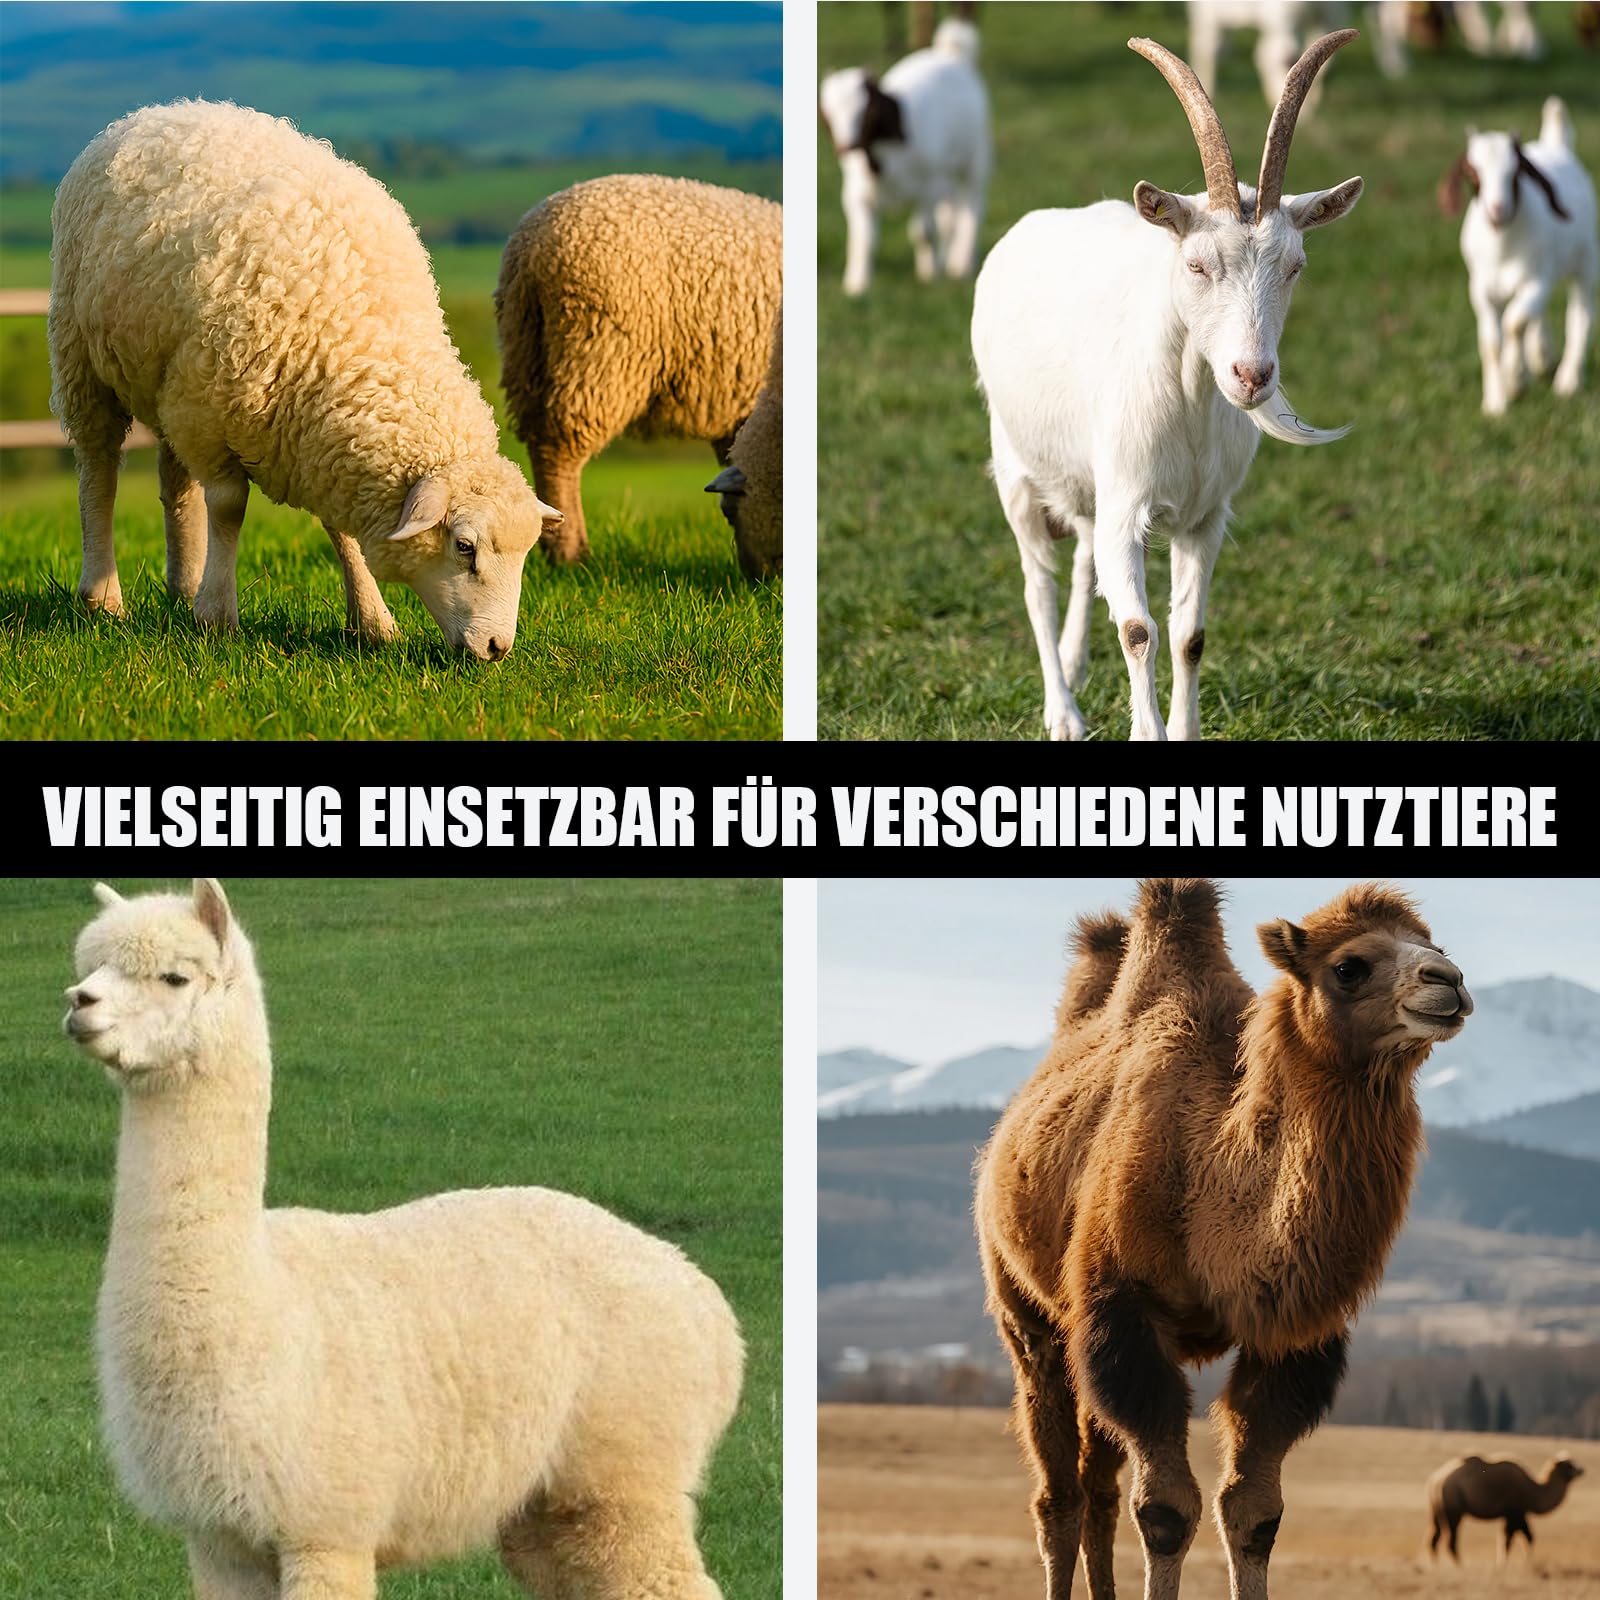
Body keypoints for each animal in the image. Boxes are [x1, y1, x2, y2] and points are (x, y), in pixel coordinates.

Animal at [49, 100, 559, 660]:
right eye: (464, 546)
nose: (496, 647)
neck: (364, 335)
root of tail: (161, 112)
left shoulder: (320, 436)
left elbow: (343, 532)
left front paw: (372, 619)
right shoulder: (209, 415)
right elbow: (228, 508)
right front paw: (217, 617)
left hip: (167, 383)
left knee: (174, 483)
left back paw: (182, 586)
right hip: (83, 357)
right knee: (98, 470)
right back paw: (103, 596)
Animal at [62, 879, 743, 1600]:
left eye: (174, 976)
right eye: (89, 967)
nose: (79, 1003)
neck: (263, 1305)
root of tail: (705, 1300)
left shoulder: (327, 1525)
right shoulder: (221, 1540)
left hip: (630, 1468)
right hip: (546, 1503)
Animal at [819, 17, 992, 296]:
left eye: (867, 111)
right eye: (828, 112)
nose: (847, 146)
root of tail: (949, 55)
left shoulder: (928, 188)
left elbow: (923, 232)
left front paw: (928, 275)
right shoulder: (856, 194)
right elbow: (863, 239)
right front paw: (857, 284)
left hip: (973, 160)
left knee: (972, 208)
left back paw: (961, 263)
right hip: (947, 177)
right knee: (950, 217)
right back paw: (952, 260)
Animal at [970, 31, 1363, 742]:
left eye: (1295, 266)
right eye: (1197, 265)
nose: (1252, 375)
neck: (1189, 406)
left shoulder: (1204, 517)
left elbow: (1189, 635)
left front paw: (1184, 730)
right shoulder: (1128, 506)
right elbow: (1137, 630)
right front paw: (1145, 730)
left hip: (1088, 481)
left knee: (1081, 559)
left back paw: (1073, 664)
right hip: (1014, 465)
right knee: (1037, 585)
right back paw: (1062, 710)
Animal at [1439, 97, 1597, 414]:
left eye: (1516, 173)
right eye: (1472, 172)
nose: (1498, 210)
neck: (1503, 249)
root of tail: (1555, 143)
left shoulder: (1537, 280)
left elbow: (1515, 323)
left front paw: (1515, 382)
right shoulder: (1480, 289)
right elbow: (1490, 342)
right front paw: (1495, 403)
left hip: (1586, 261)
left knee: (1579, 316)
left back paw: (1568, 380)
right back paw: (1541, 357)